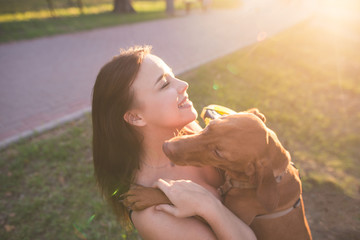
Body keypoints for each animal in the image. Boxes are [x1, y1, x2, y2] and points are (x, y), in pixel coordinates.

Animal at [124, 110, 312, 240]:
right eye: (209, 127)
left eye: (218, 153)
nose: (166, 147)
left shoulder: (225, 218)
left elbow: (182, 200)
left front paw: (145, 195)